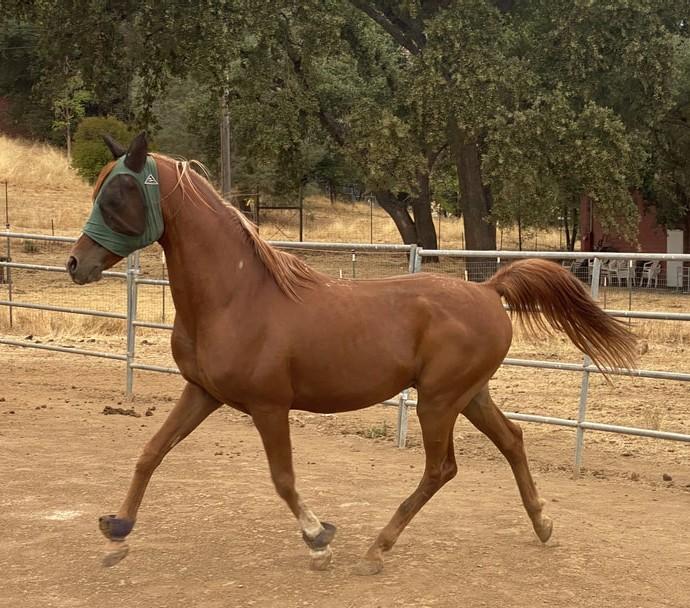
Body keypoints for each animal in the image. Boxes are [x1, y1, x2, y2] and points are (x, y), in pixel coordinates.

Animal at [67, 132, 637, 575]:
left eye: (117, 194)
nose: (76, 264)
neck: (236, 296)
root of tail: (488, 290)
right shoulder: (202, 392)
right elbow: (151, 452)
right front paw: (117, 528)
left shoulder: (269, 406)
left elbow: (283, 479)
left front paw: (319, 540)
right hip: (469, 395)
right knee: (512, 441)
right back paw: (542, 523)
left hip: (438, 402)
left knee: (441, 469)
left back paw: (377, 549)